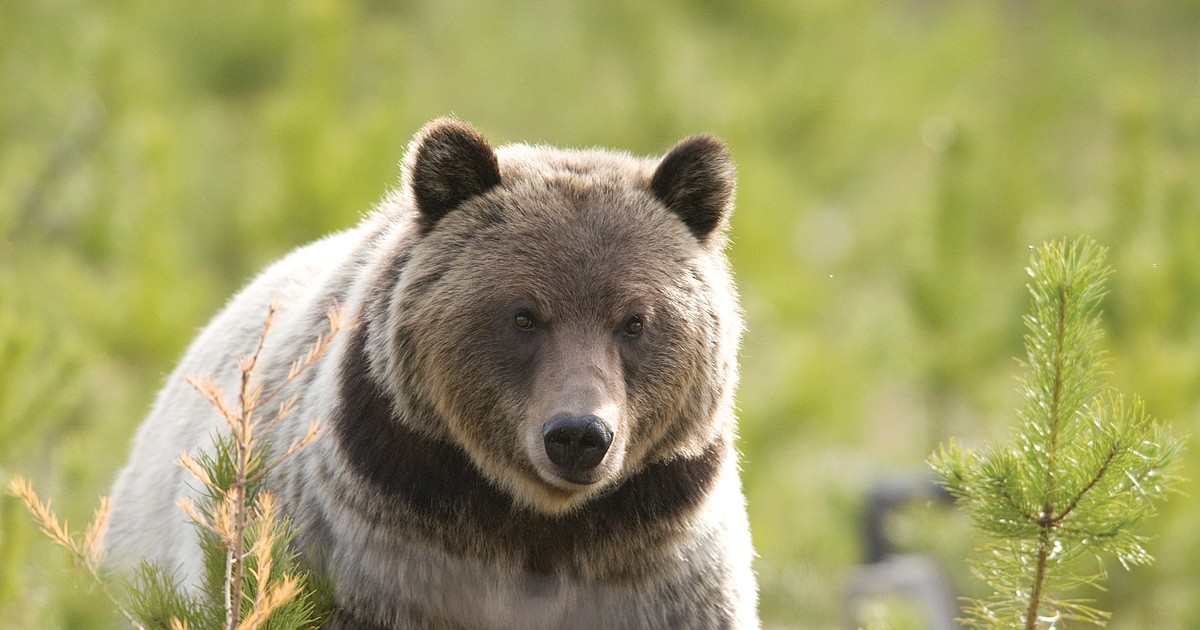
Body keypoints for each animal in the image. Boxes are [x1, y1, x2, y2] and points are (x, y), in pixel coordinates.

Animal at [106, 118, 758, 629]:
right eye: (524, 315)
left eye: (634, 321)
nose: (578, 434)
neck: (537, 522)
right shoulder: (380, 545)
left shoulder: (655, 567)